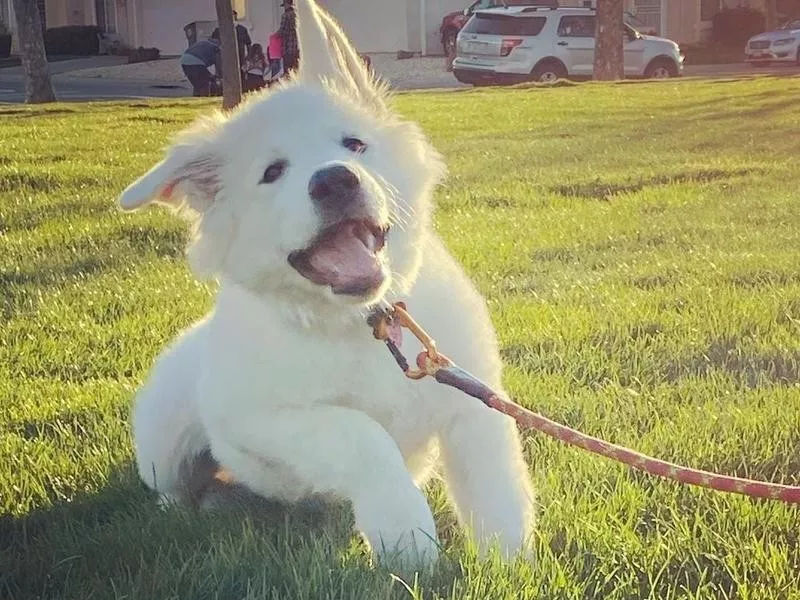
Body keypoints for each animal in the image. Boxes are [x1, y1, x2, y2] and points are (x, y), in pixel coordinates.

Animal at [122, 0, 536, 568]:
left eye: (354, 144)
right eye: (272, 172)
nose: (335, 179)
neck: (369, 325)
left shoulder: (473, 402)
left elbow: (496, 488)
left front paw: (510, 564)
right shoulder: (259, 417)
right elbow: (361, 434)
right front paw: (405, 536)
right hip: (164, 438)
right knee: (173, 488)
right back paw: (190, 510)